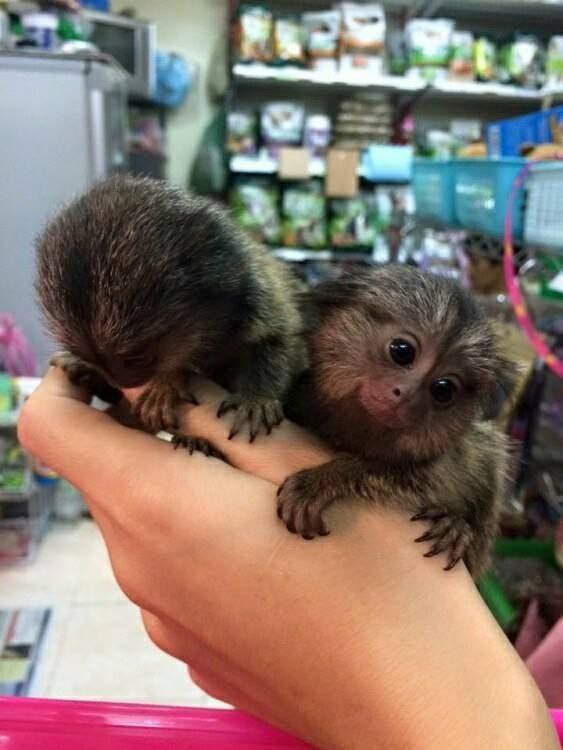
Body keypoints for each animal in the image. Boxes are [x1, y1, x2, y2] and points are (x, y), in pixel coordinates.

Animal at [35, 175, 307, 455]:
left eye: (135, 358)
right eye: (96, 360)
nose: (122, 382)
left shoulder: (258, 295)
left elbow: (279, 341)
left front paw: (256, 399)